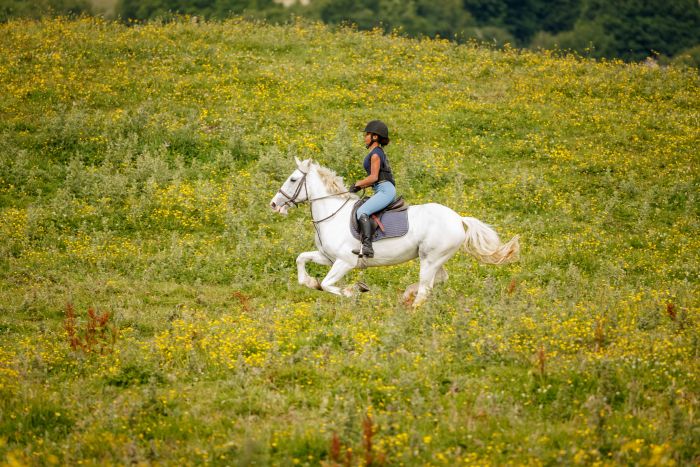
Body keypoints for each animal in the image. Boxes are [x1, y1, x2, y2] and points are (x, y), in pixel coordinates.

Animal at [268, 157, 520, 308]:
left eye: (292, 179)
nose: (274, 204)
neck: (332, 215)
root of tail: (458, 218)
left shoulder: (345, 262)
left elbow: (328, 285)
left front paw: (354, 291)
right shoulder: (327, 257)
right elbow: (301, 259)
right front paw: (309, 281)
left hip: (430, 259)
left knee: (426, 288)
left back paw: (412, 309)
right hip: (434, 258)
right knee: (439, 279)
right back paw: (407, 296)